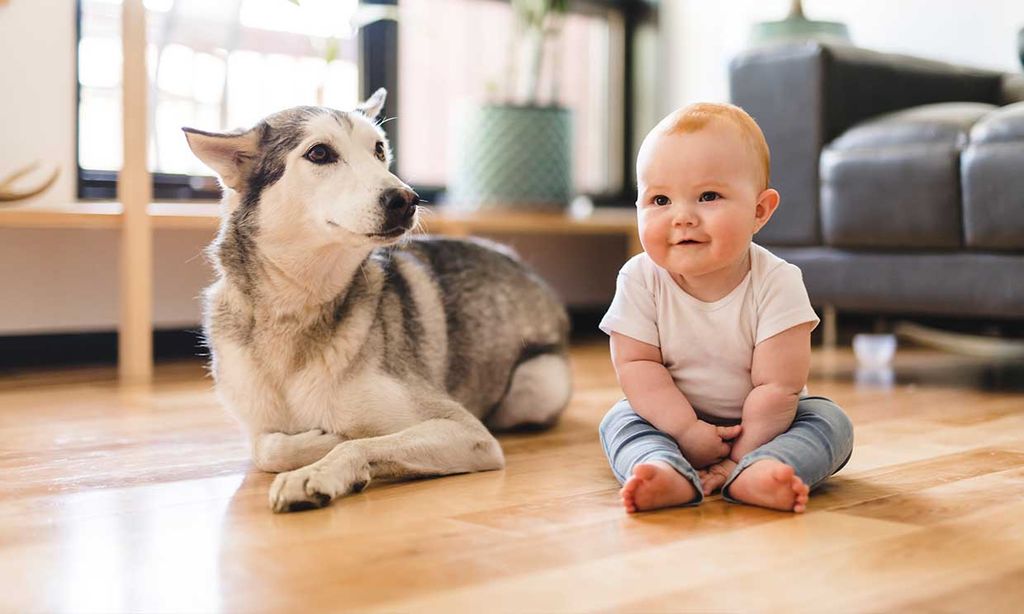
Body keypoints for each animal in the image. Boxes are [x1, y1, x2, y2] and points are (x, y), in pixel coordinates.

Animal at [182, 90, 569, 513]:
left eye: (379, 150)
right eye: (320, 153)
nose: (407, 199)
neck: (298, 308)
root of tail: (517, 260)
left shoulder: (468, 432)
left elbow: (358, 443)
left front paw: (318, 468)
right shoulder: (258, 426)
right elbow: (266, 447)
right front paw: (319, 442)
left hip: (537, 384)